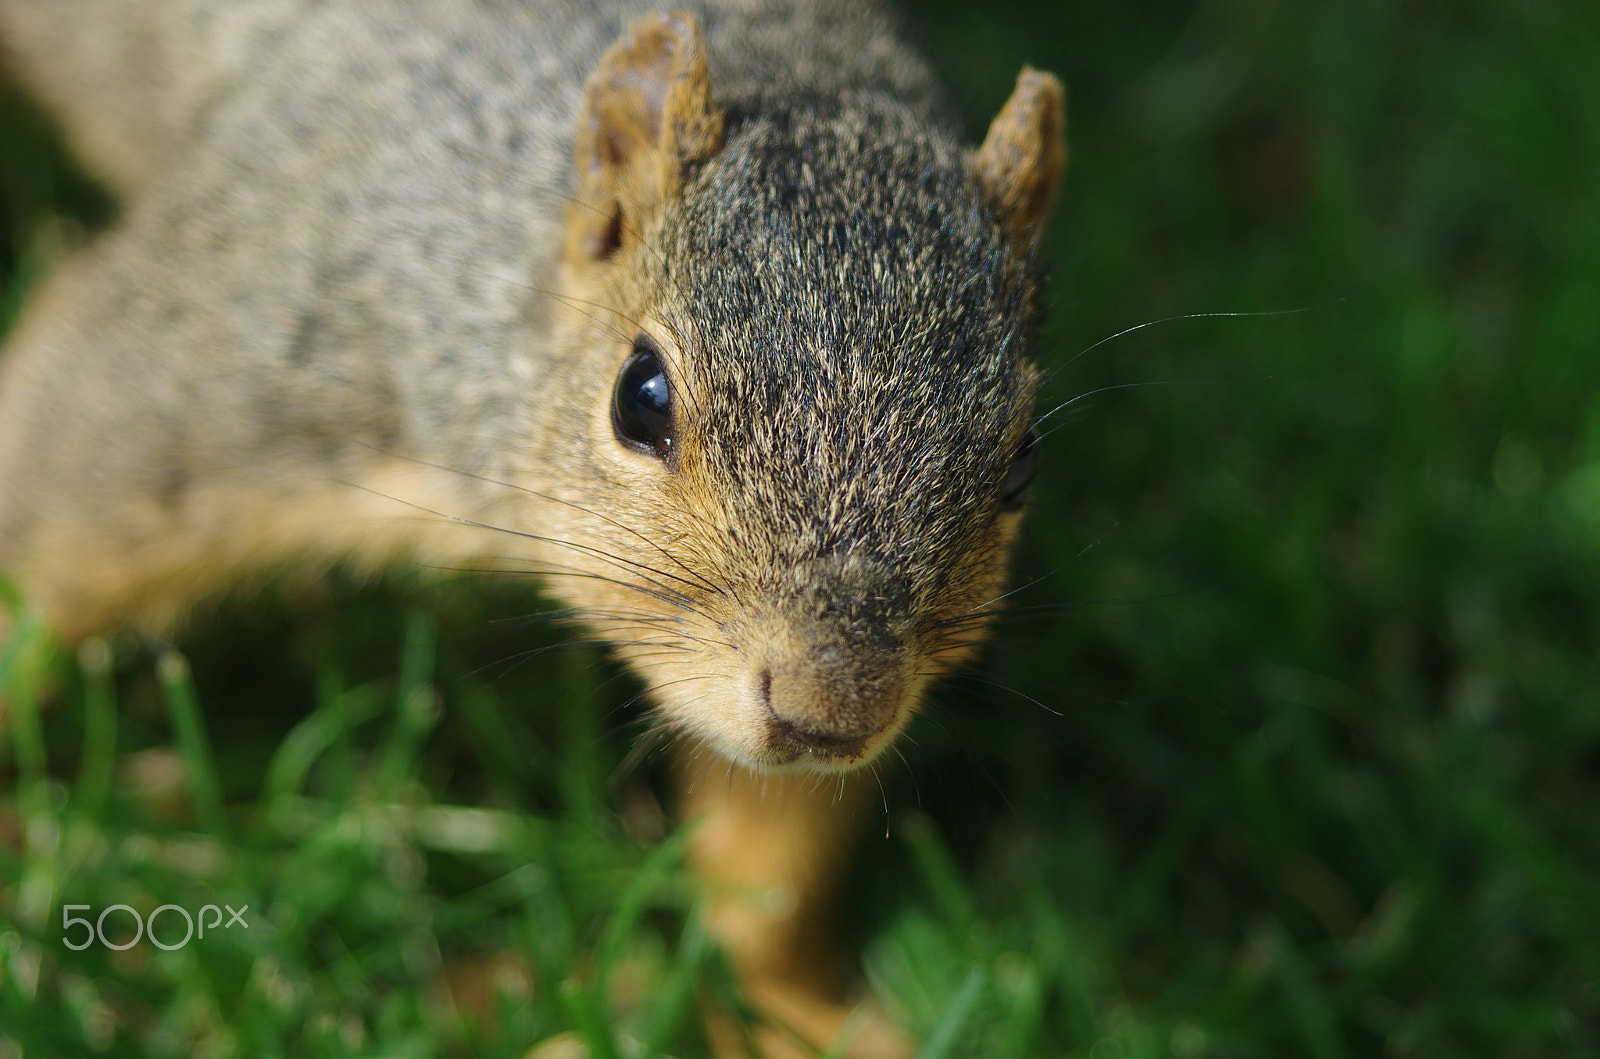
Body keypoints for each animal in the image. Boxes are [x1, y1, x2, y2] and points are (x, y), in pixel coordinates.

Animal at [0, 4, 1062, 1055]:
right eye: (641, 395)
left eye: (1022, 459)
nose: (828, 710)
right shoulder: (249, 330)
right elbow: (59, 487)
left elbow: (769, 857)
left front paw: (775, 1001)